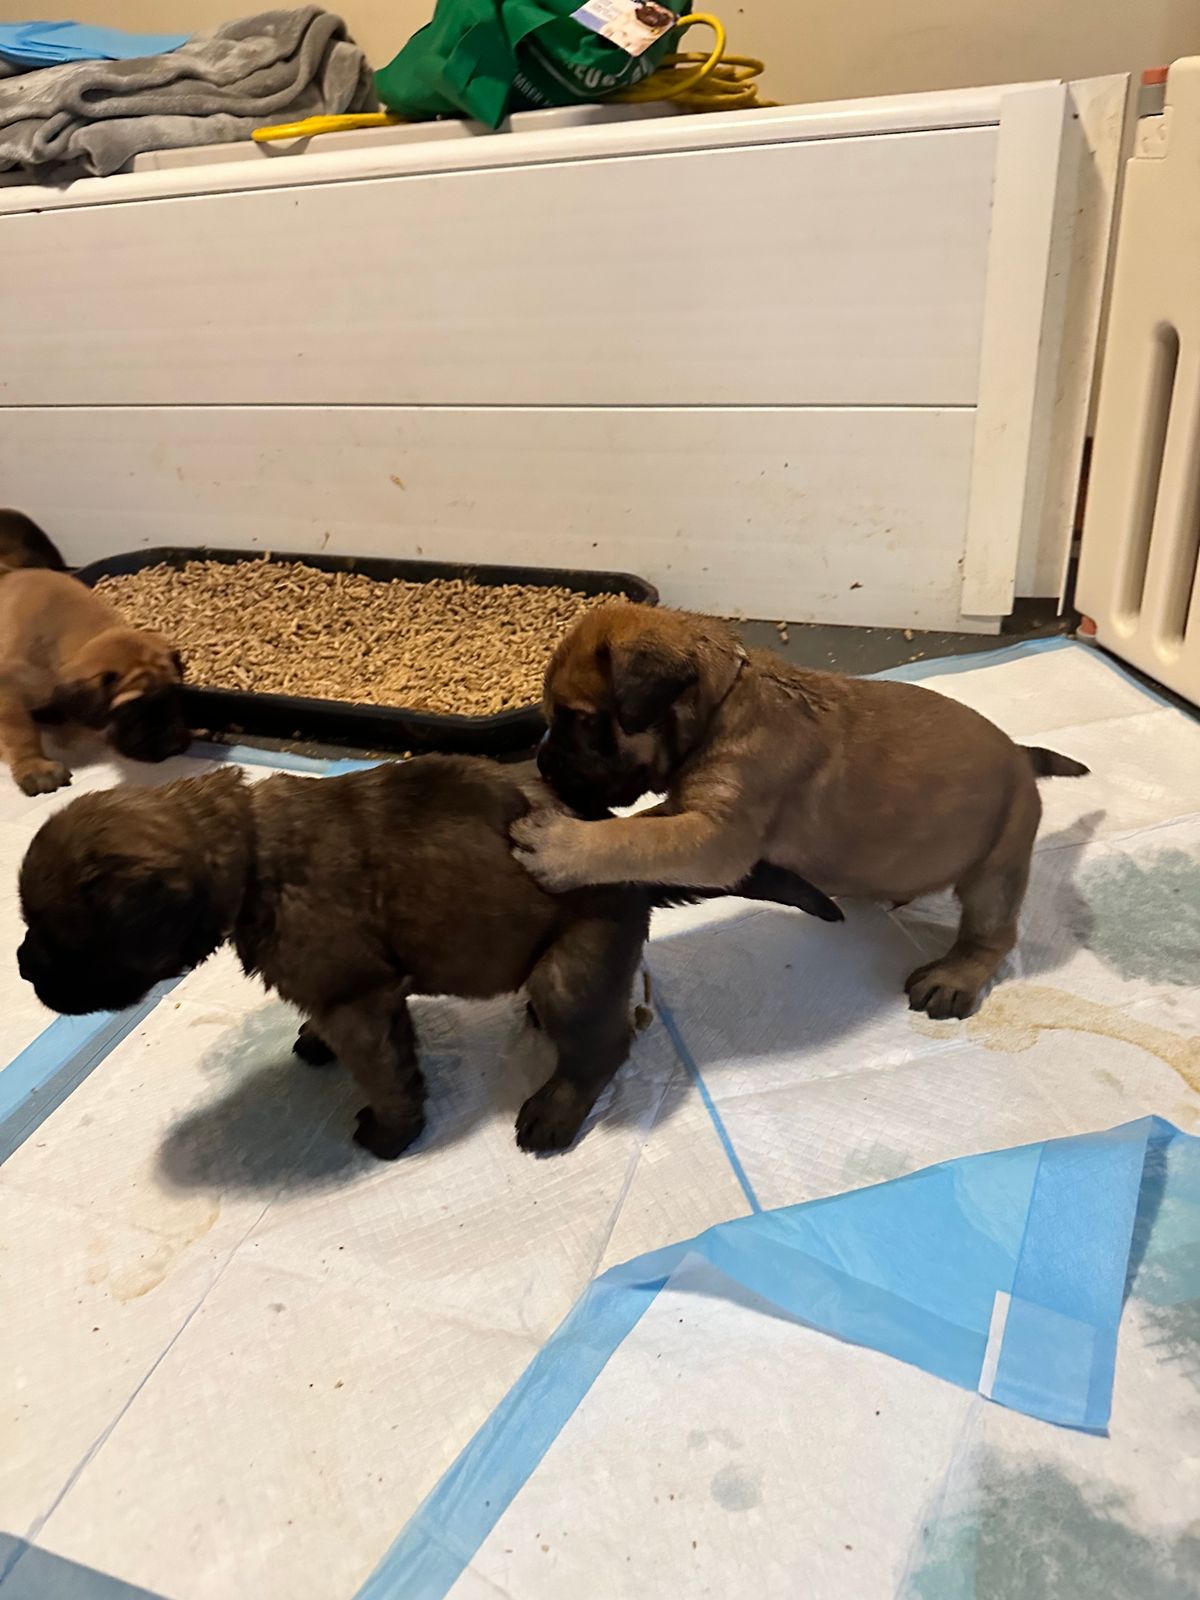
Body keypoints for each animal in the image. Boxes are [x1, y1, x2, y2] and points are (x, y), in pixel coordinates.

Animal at [0, 566, 189, 794]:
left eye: (174, 695)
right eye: (128, 711)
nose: (174, 744)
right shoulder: (8, 687)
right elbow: (21, 732)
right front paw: (35, 766)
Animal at [17, 755, 840, 1158]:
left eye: (62, 939)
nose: (22, 967)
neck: (251, 852)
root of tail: (629, 848)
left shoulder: (360, 1001)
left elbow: (388, 1076)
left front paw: (389, 1134)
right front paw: (312, 1043)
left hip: (570, 969)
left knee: (601, 1047)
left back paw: (551, 1117)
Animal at [513, 603, 1089, 1021]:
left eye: (580, 720)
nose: (542, 764)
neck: (724, 703)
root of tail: (1019, 753)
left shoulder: (717, 837)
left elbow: (634, 841)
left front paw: (559, 847)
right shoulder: (689, 809)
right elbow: (637, 828)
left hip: (996, 868)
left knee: (994, 934)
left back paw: (955, 976)